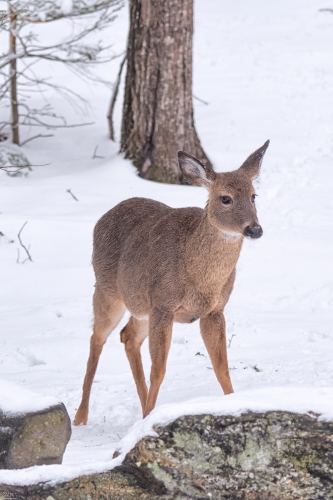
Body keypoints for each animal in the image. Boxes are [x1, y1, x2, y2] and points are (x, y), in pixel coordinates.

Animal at [74, 141, 268, 426]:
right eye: (225, 198)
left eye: (254, 196)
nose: (254, 229)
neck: (201, 279)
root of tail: (102, 218)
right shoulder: (164, 305)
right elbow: (159, 370)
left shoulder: (214, 310)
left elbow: (221, 367)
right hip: (107, 289)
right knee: (96, 338)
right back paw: (81, 416)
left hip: (142, 305)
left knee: (127, 336)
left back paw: (143, 408)